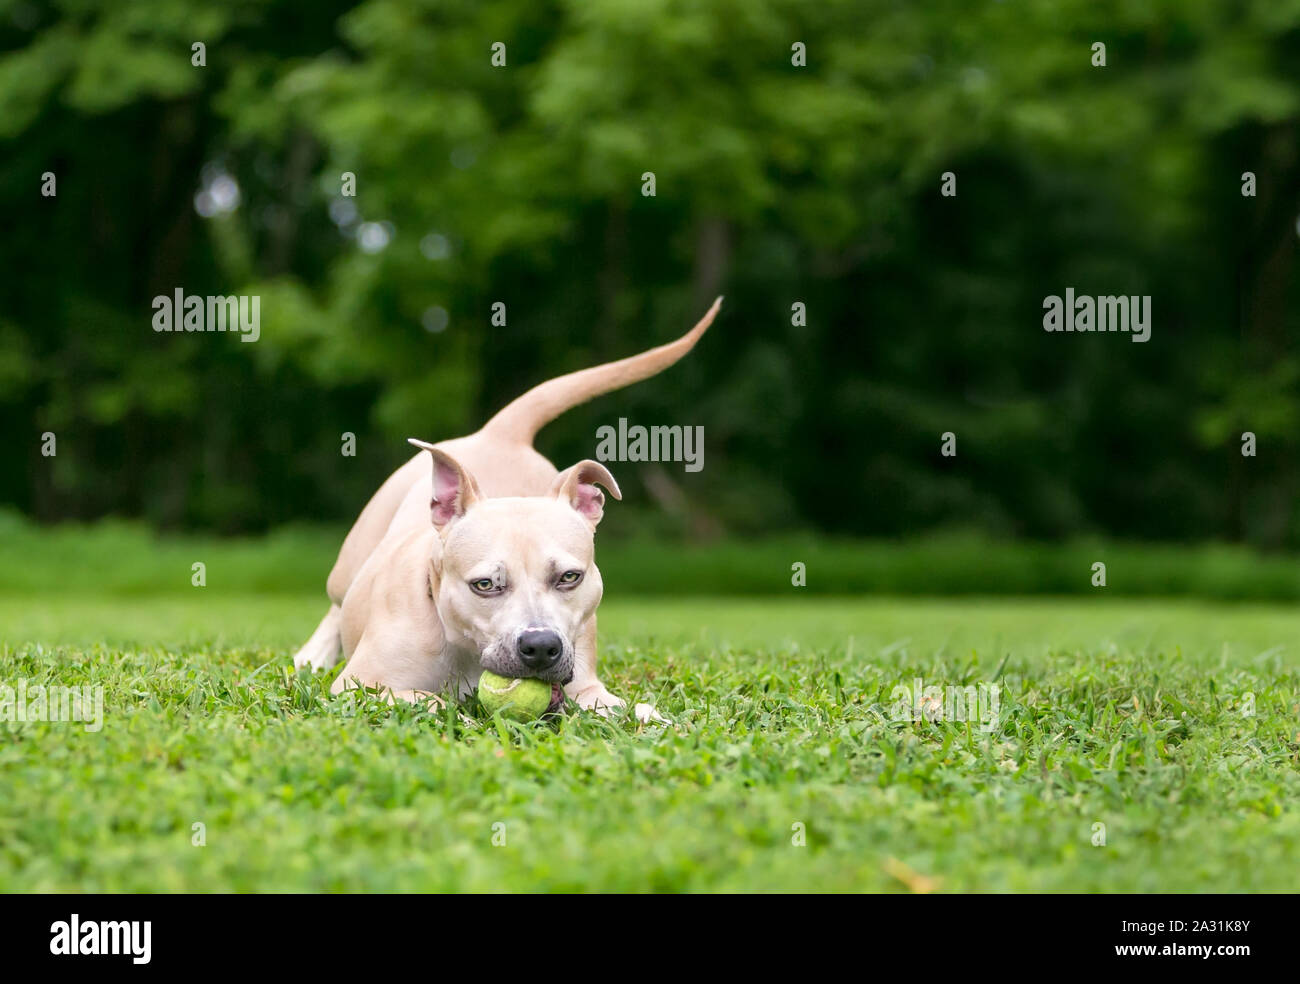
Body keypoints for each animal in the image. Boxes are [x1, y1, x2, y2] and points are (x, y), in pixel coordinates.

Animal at [292, 295, 722, 717]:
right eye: (484, 585)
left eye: (570, 577)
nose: (542, 646)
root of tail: (501, 433)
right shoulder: (358, 686)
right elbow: (431, 702)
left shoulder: (587, 687)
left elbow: (620, 707)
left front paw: (653, 718)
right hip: (350, 562)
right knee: (336, 605)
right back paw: (311, 656)